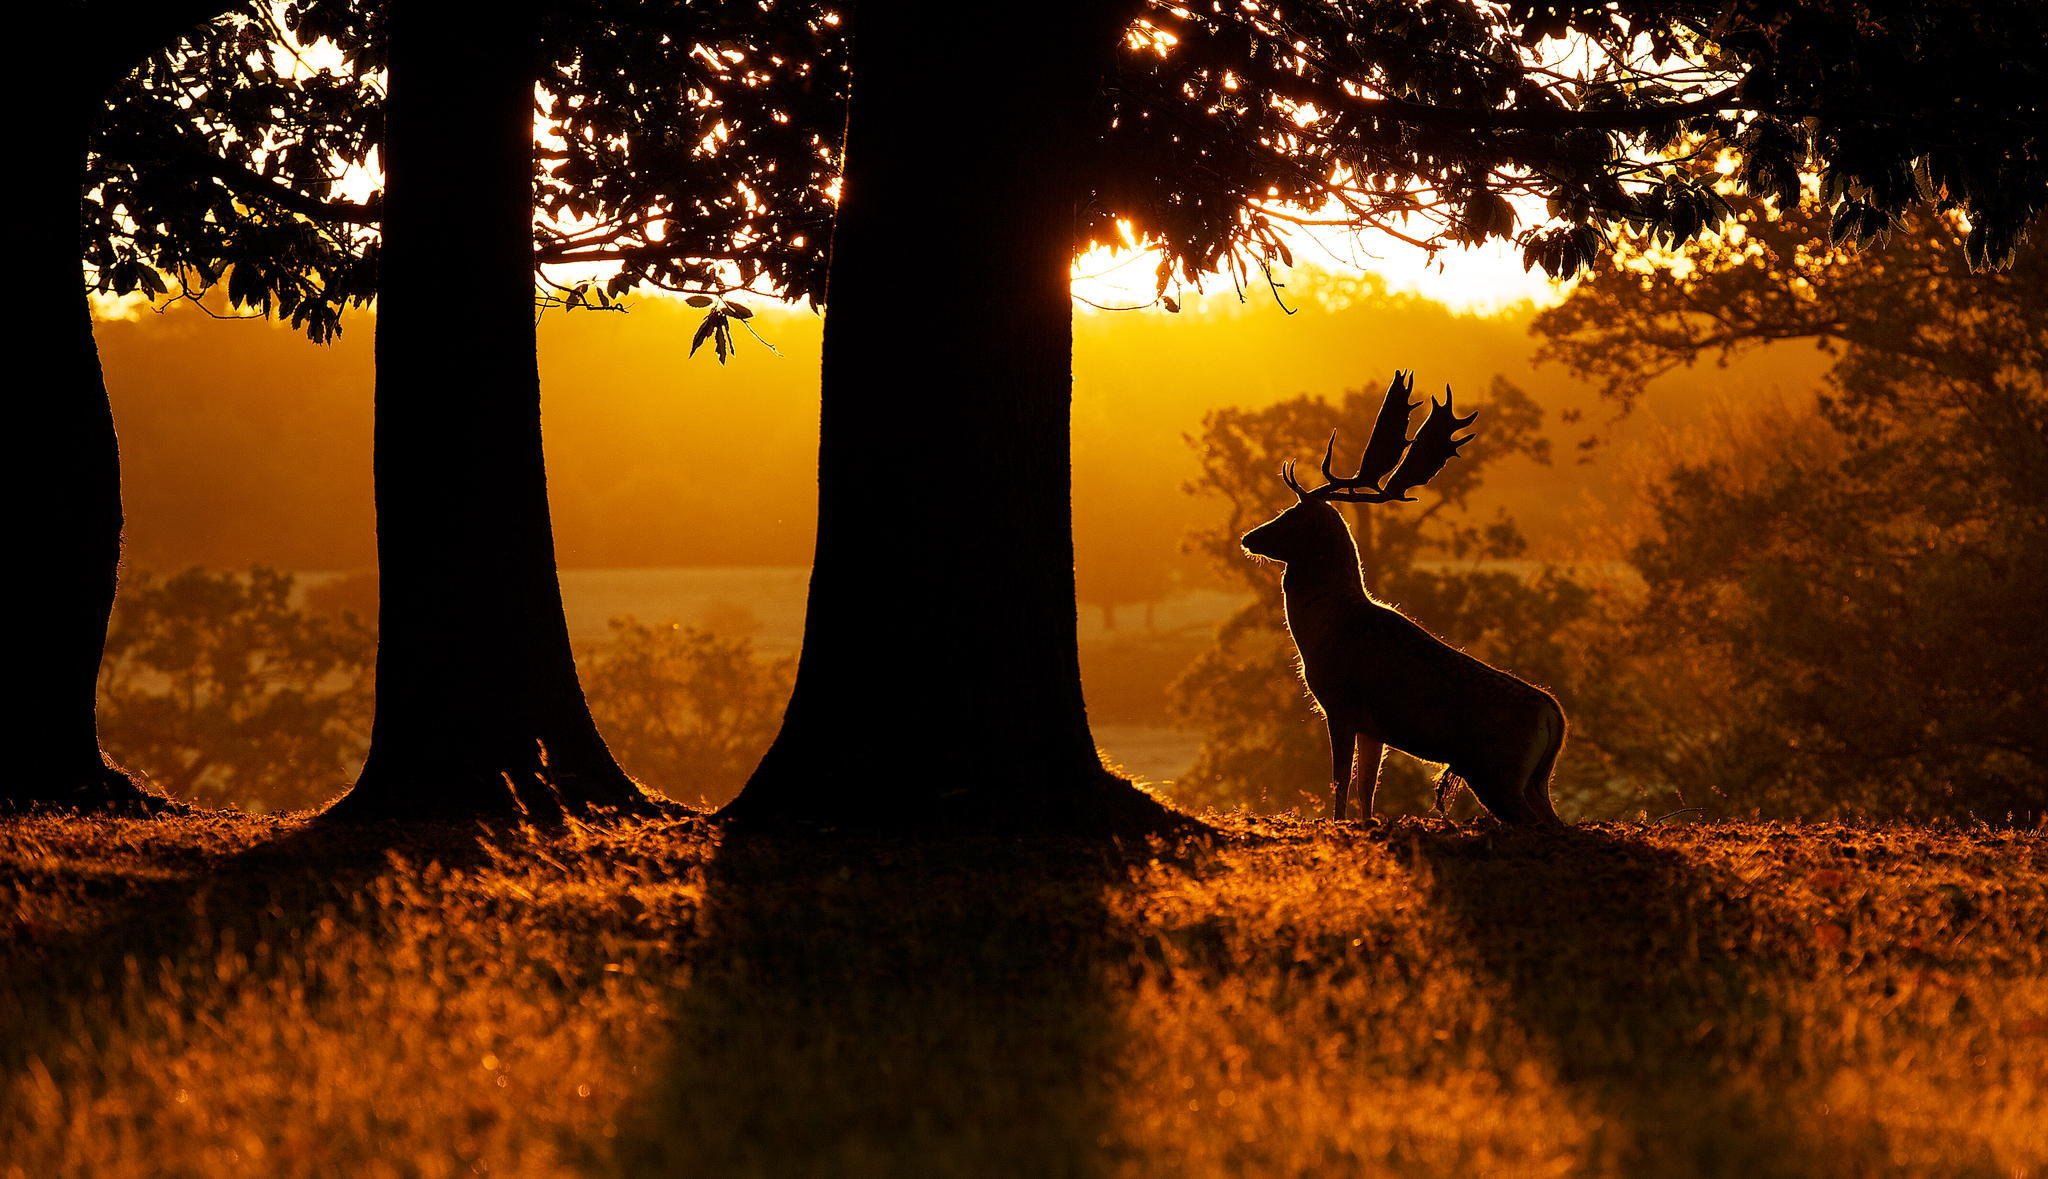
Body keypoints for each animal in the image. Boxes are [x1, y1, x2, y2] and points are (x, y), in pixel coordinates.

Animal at [1228, 372, 1564, 822]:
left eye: (1291, 515)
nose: (1249, 537)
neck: (1323, 631)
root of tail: (1555, 716)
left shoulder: (1341, 704)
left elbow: (1340, 782)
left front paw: (1337, 823)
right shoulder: (1374, 728)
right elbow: (1367, 789)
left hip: (1498, 773)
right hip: (1534, 781)